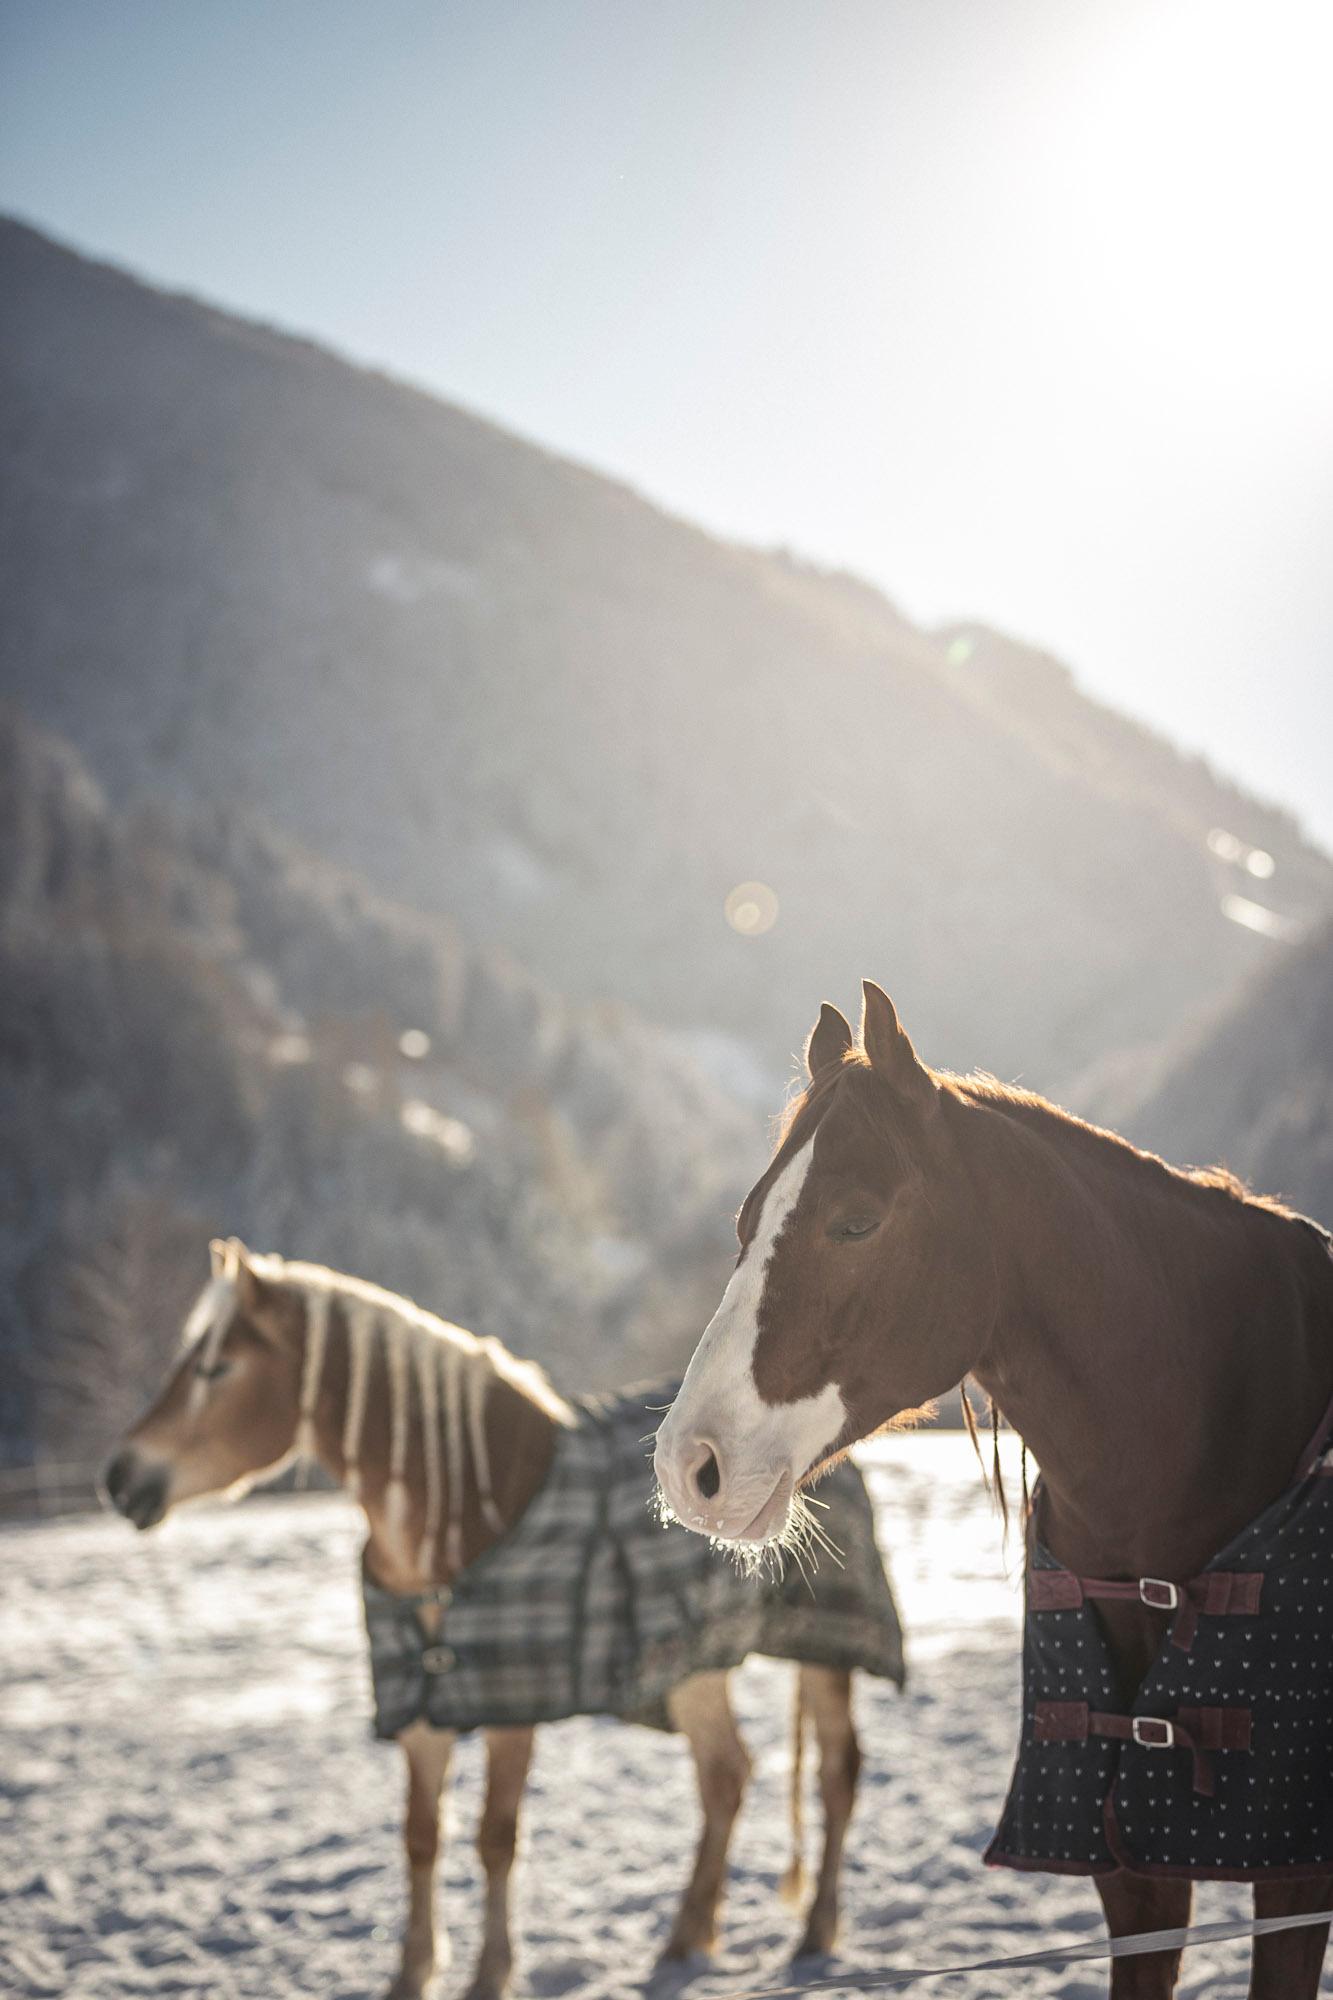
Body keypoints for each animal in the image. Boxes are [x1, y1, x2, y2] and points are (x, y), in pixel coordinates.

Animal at [103, 1239, 900, 2000]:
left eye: (216, 1368)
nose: (119, 1477)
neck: (459, 1500)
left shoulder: (511, 1708)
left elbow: (494, 1837)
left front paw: (490, 1974)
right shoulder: (422, 1708)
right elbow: (420, 1837)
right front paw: (410, 1975)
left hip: (825, 1650)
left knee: (836, 1773)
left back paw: (814, 1935)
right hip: (692, 1666)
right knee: (725, 1776)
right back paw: (684, 1941)